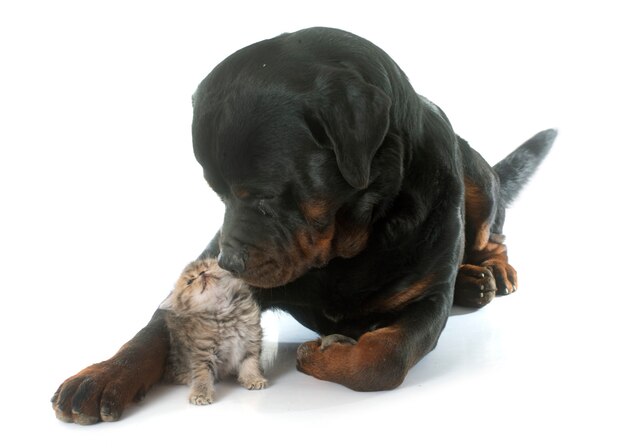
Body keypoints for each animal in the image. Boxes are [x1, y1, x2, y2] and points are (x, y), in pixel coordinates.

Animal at [158, 258, 266, 404]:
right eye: (190, 281)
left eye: (206, 266)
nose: (202, 273)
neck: (225, 311)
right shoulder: (202, 351)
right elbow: (202, 373)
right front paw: (200, 393)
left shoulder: (251, 339)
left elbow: (250, 362)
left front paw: (253, 378)